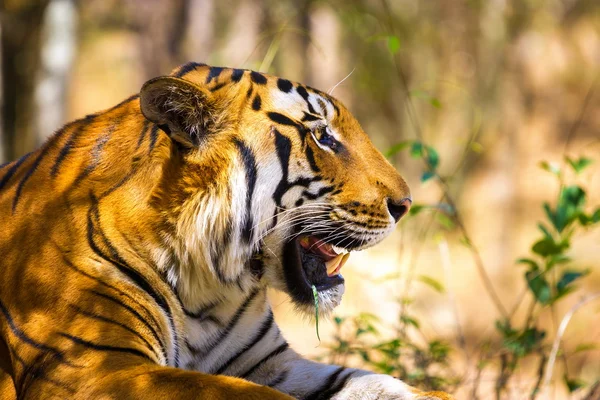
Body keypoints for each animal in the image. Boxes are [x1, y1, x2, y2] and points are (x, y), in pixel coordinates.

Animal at [0, 61, 452, 398]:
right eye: (321, 135)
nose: (405, 204)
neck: (208, 286)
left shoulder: (272, 362)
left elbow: (379, 382)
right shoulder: (93, 364)